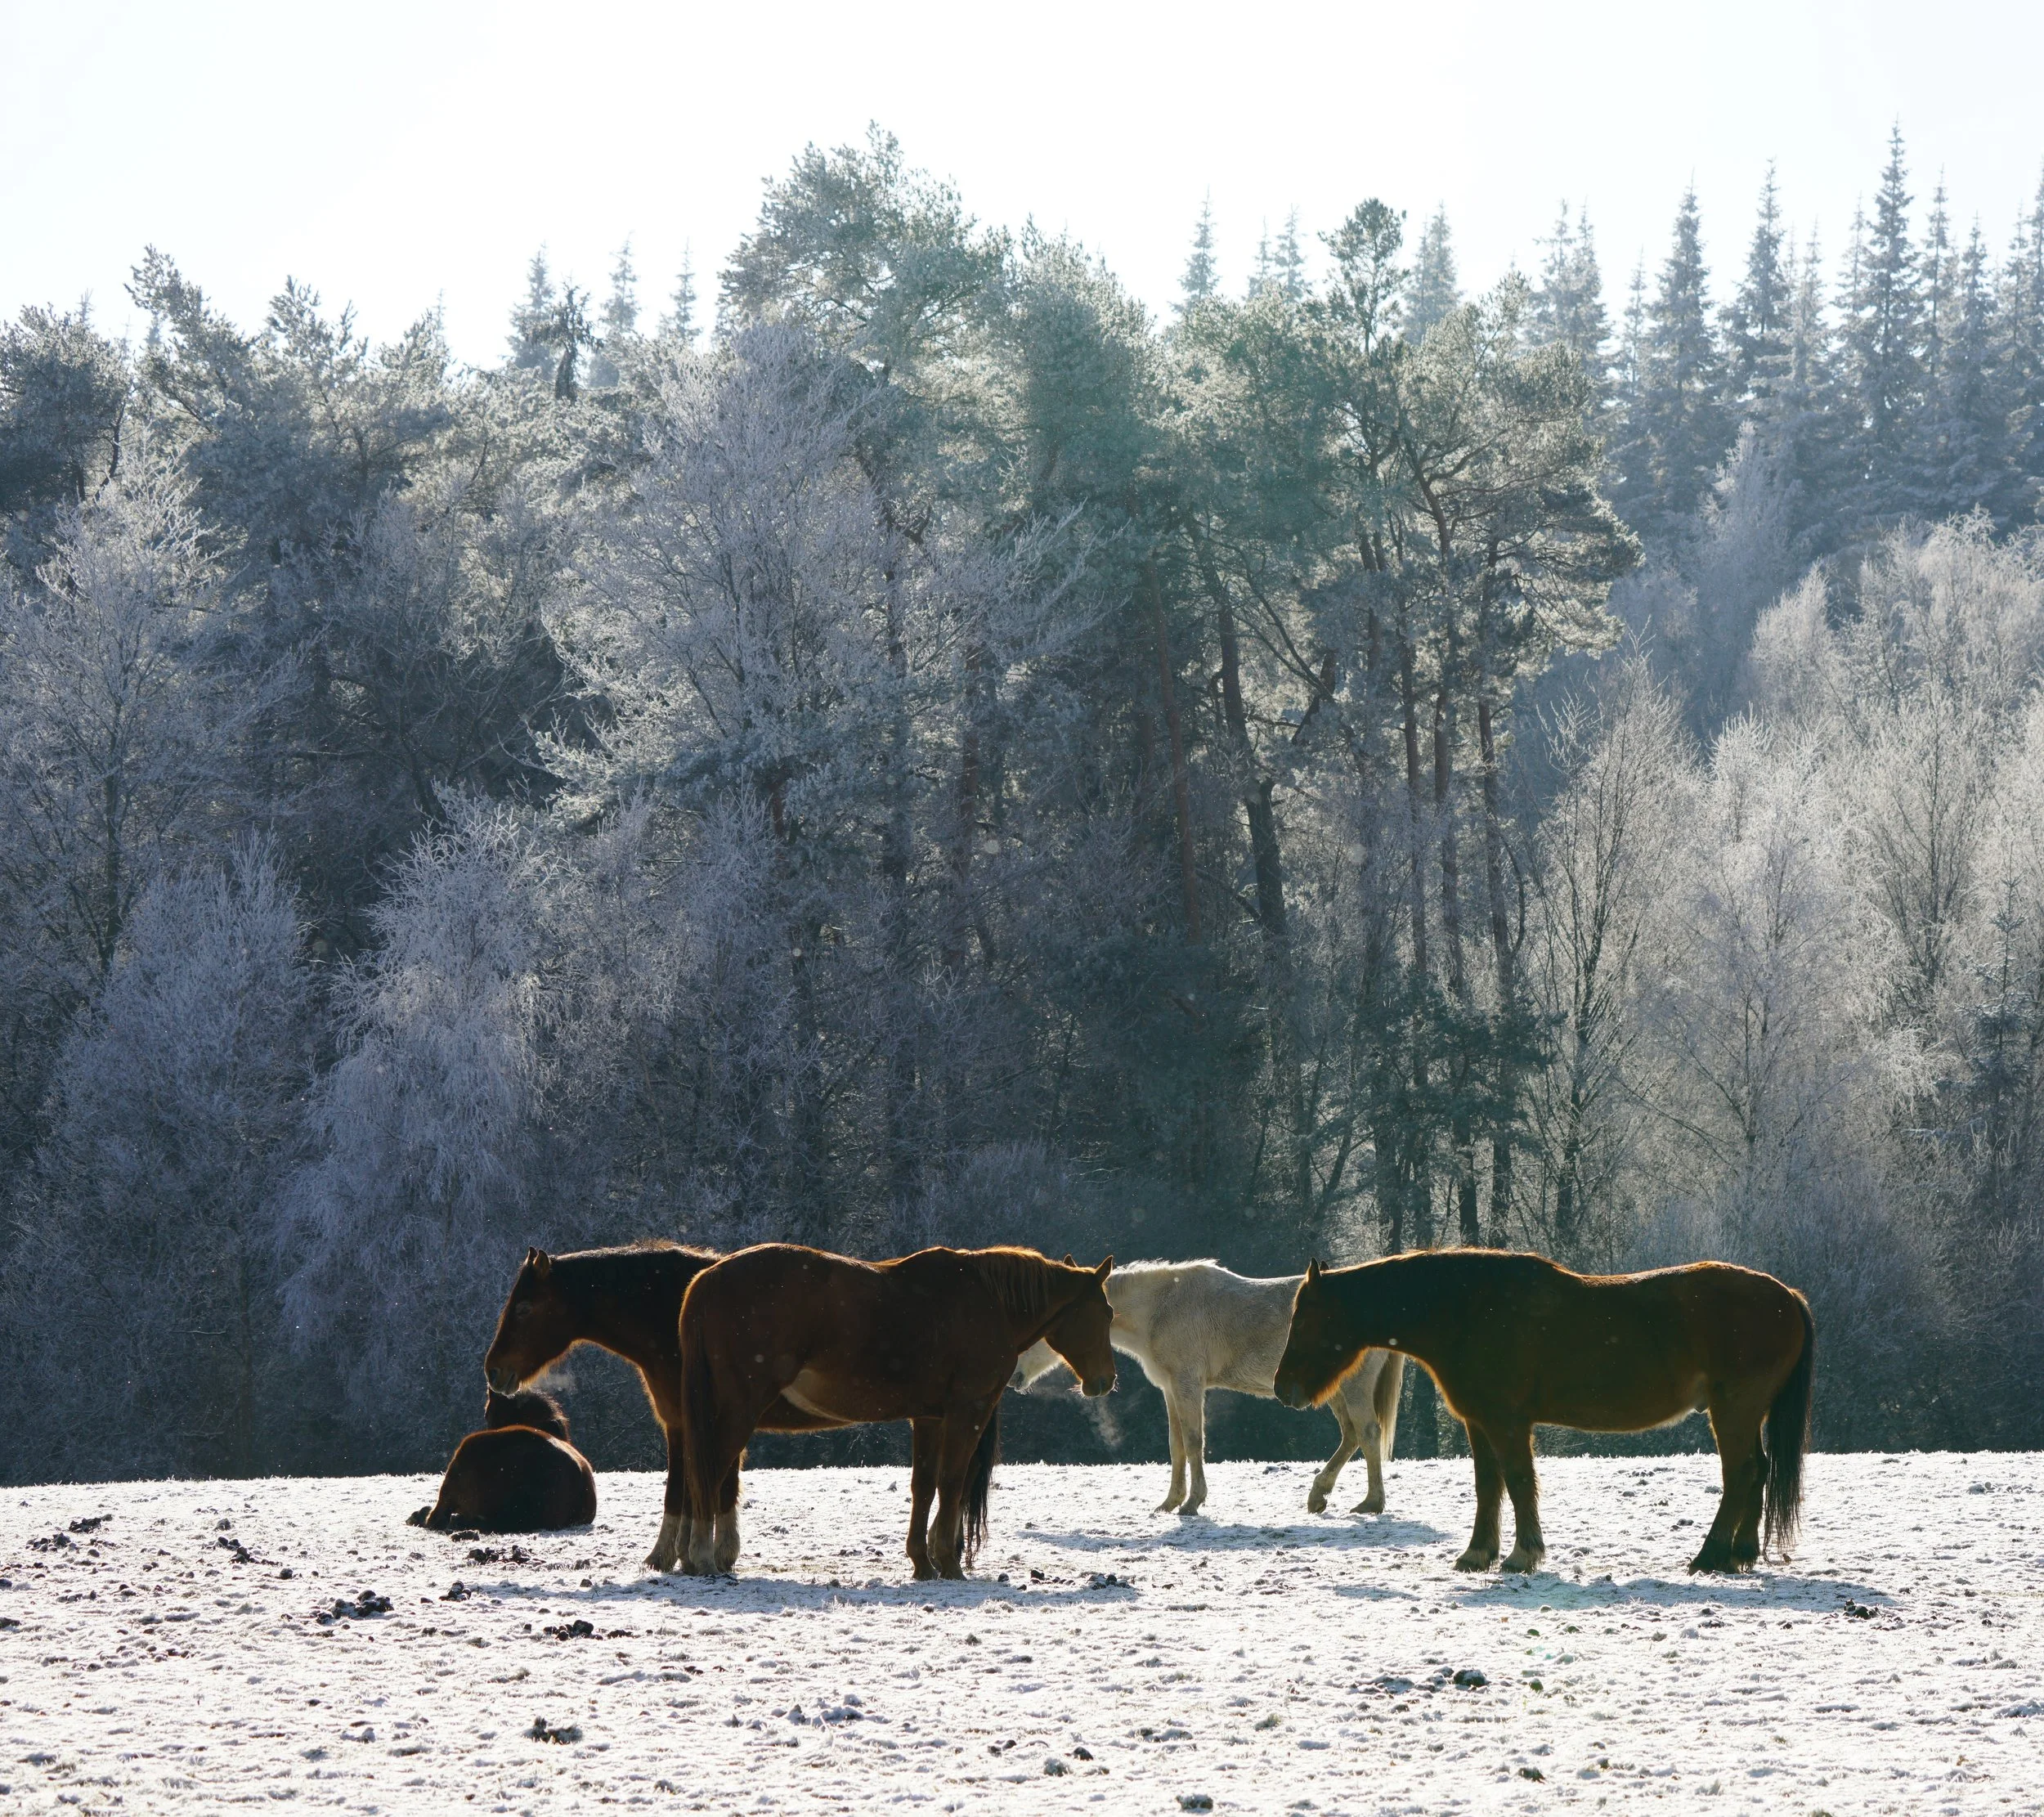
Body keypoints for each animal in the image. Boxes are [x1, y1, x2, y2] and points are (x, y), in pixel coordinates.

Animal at [481, 1243, 843, 1573]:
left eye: (524, 1308)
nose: (493, 1370)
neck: (673, 1312)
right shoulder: (687, 1424)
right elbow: (701, 1488)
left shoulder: (698, 1424)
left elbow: (695, 1488)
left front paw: (681, 1556)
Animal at [680, 1245, 1116, 1579]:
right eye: (1107, 1313)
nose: (1106, 1380)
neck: (990, 1302)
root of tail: (706, 1279)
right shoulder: (967, 1412)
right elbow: (952, 1483)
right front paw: (947, 1562)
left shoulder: (929, 1419)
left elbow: (923, 1486)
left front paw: (922, 1562)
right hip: (738, 1412)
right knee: (709, 1474)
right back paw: (702, 1558)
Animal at [1011, 1259, 1406, 1517]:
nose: (1011, 1374)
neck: (1161, 1308)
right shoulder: (1170, 1389)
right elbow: (1176, 1446)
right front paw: (1170, 1502)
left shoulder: (1188, 1385)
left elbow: (1193, 1441)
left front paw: (1191, 1503)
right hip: (1335, 1390)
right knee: (1351, 1435)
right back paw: (1319, 1496)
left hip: (1353, 1387)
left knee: (1368, 1433)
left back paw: (1372, 1503)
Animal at [1273, 1250, 1815, 1575]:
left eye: (1306, 1318)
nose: (1283, 1389)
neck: (1467, 1308)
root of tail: (1787, 1296)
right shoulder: (1480, 1423)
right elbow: (1488, 1487)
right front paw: (1478, 1553)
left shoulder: (1507, 1422)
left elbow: (1517, 1482)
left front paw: (1522, 1554)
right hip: (1745, 1414)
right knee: (1758, 1470)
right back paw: (1740, 1553)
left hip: (1734, 1410)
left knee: (1741, 1473)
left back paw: (1710, 1556)